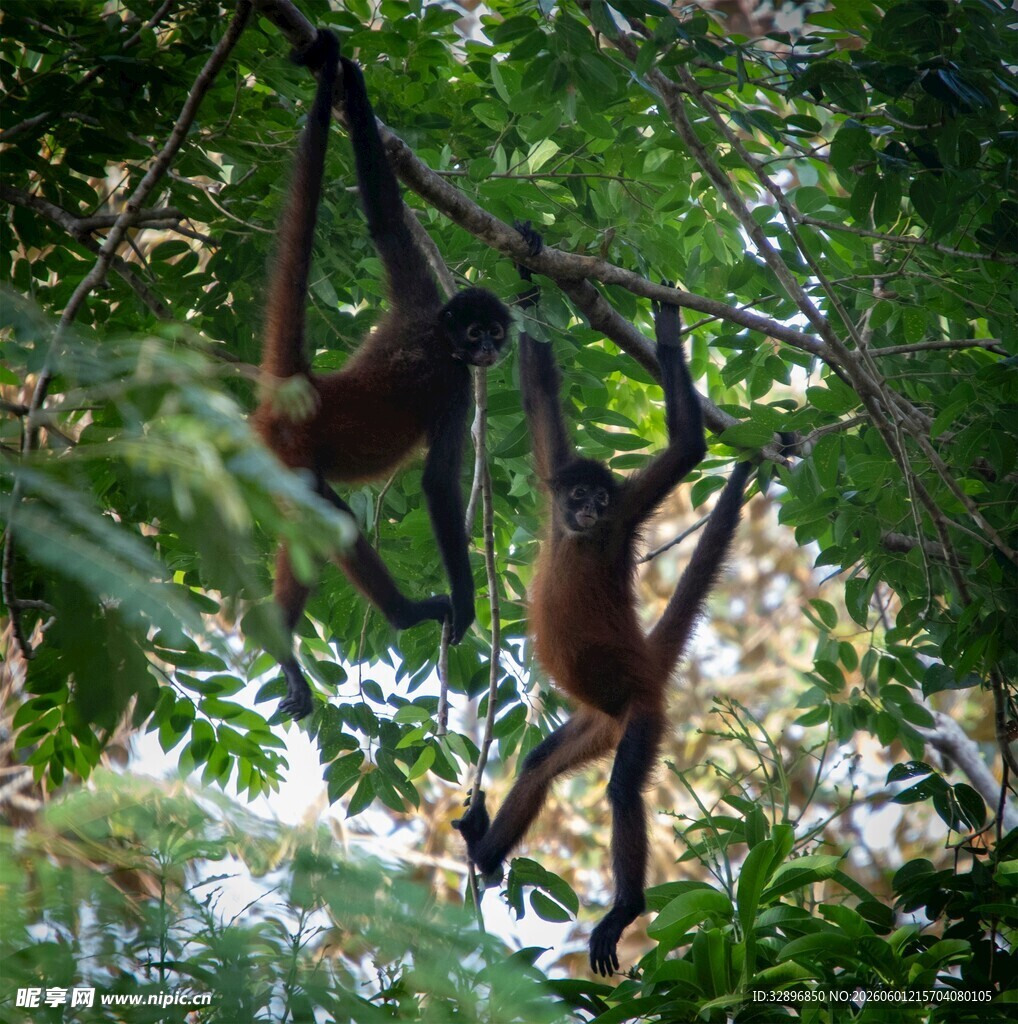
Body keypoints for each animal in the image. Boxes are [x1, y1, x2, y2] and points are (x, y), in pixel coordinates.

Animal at [252, 31, 512, 721]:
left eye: (495, 331)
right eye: (475, 335)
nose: (490, 350)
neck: (436, 336)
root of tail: (306, 387)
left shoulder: (417, 297)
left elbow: (385, 216)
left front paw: (351, 79)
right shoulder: (454, 384)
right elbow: (439, 484)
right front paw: (467, 604)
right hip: (291, 453)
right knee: (333, 521)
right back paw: (400, 615)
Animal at [454, 225, 752, 976]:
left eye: (599, 499)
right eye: (577, 494)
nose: (586, 510)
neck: (579, 540)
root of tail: (641, 671)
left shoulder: (623, 523)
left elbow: (687, 447)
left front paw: (669, 327)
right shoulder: (551, 475)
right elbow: (537, 392)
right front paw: (528, 271)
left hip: (642, 714)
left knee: (622, 791)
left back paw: (624, 910)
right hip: (597, 723)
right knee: (538, 763)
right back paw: (486, 852)